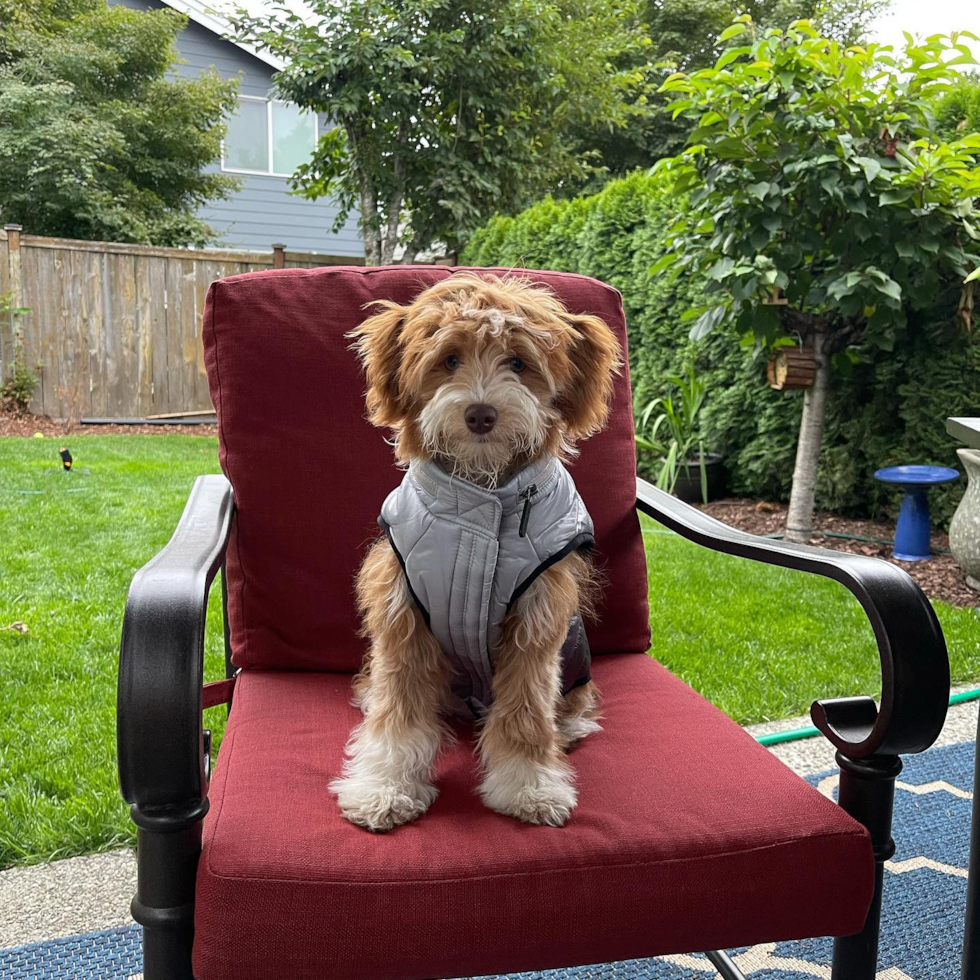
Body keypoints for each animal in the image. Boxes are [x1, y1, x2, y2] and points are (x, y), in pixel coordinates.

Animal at [330, 272, 620, 832]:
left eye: (519, 363)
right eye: (449, 359)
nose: (481, 413)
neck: (481, 501)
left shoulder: (537, 620)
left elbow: (526, 714)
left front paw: (529, 787)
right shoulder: (402, 612)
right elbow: (398, 715)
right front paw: (385, 786)